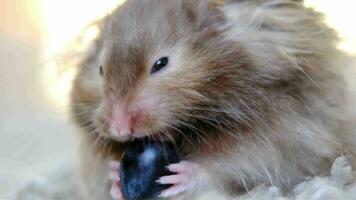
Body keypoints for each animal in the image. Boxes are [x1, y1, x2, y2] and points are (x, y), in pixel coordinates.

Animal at [69, 0, 356, 198]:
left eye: (161, 64)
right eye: (101, 69)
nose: (120, 129)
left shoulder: (286, 137)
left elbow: (233, 165)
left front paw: (179, 177)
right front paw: (115, 177)